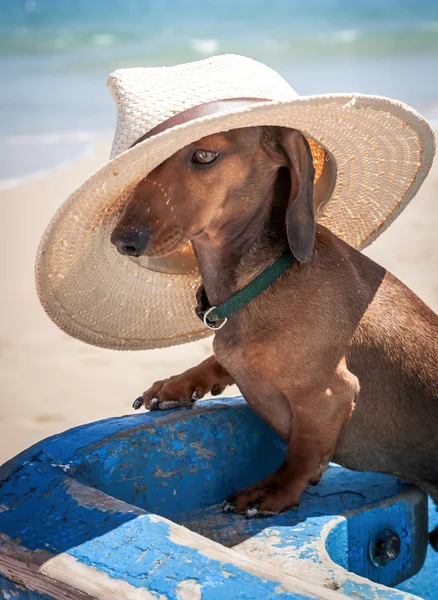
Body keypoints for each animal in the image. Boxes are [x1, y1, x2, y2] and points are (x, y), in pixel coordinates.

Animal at [110, 126, 438, 548]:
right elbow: (217, 361)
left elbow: (302, 450)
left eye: (204, 156)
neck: (258, 279)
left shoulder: (330, 394)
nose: (123, 241)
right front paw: (176, 384)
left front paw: (275, 490)